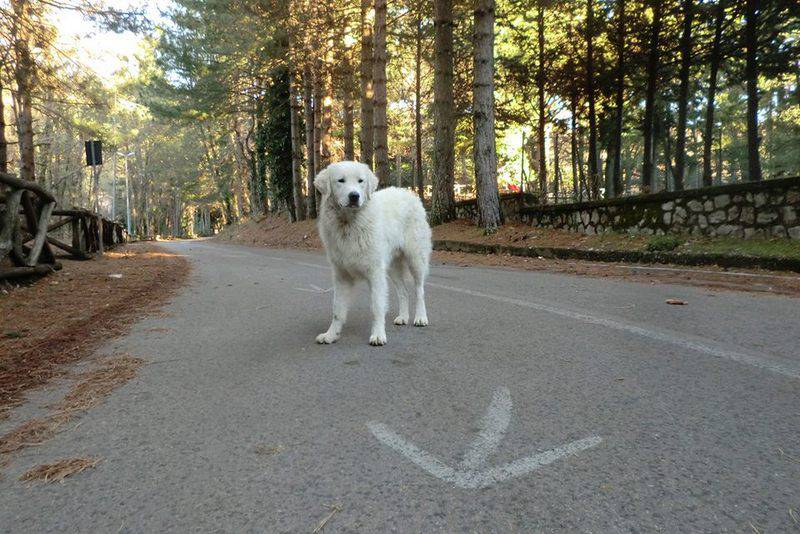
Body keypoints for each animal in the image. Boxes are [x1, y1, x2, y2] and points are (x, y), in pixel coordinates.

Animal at [312, 160, 432, 348]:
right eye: (341, 181)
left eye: (360, 181)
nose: (354, 196)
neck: (349, 224)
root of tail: (409, 193)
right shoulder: (341, 276)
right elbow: (337, 310)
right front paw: (331, 335)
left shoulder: (375, 273)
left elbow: (377, 307)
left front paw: (378, 335)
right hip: (392, 268)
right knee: (404, 292)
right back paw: (403, 317)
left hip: (416, 259)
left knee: (419, 290)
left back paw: (420, 317)